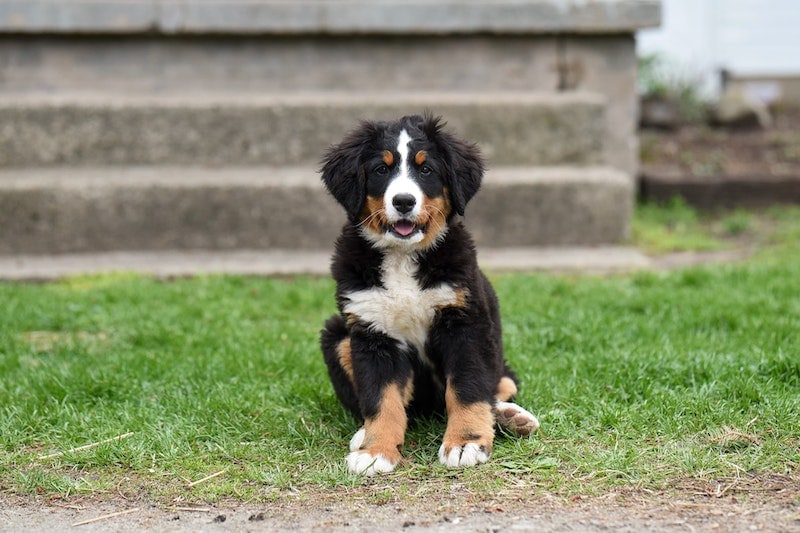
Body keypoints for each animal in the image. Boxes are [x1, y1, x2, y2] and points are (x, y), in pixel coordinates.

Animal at [318, 114, 536, 476]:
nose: (404, 201)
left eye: (426, 170)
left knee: (500, 385)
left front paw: (465, 442)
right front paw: (376, 450)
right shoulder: (372, 333)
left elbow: (467, 388)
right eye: (381, 169)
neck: (403, 256)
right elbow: (381, 397)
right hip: (337, 336)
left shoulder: (464, 324)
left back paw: (509, 416)